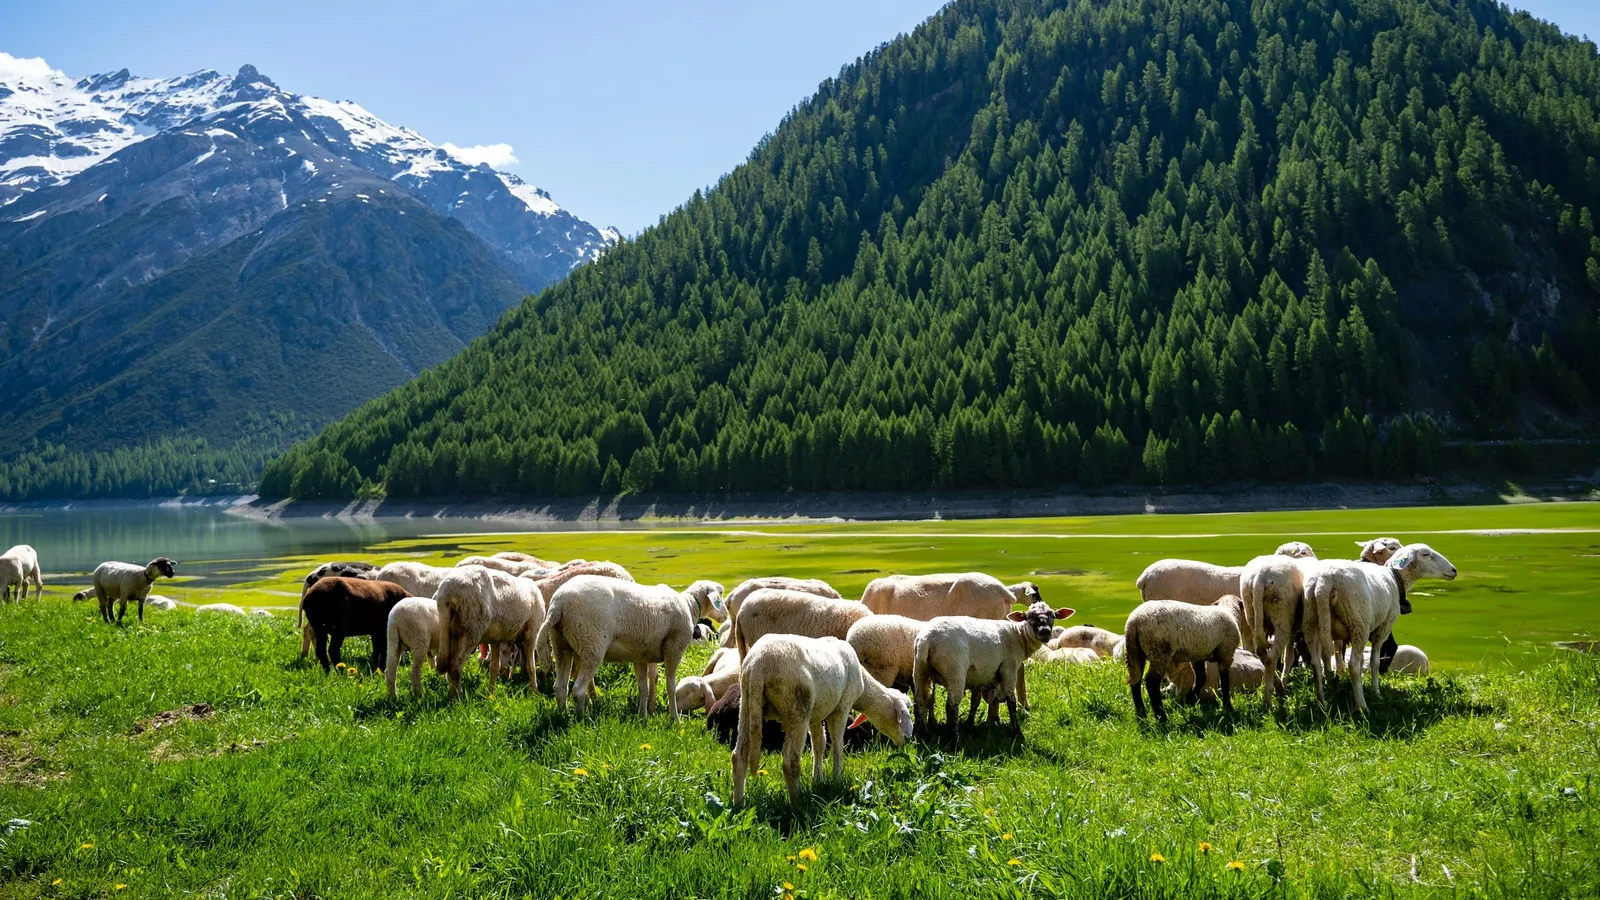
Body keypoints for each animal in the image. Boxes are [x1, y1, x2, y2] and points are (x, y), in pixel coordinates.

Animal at [434, 565, 546, 700]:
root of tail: (447, 593)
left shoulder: (495, 640)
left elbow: (494, 668)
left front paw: (491, 695)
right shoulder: (532, 632)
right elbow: (531, 666)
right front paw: (535, 692)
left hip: (452, 632)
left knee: (449, 666)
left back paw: (452, 695)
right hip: (473, 628)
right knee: (455, 668)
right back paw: (457, 699)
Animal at [536, 575, 725, 719]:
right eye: (721, 593)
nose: (725, 616)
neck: (690, 606)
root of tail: (559, 604)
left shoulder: (641, 655)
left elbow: (645, 686)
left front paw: (643, 716)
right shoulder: (673, 649)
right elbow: (670, 686)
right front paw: (674, 719)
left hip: (561, 644)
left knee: (560, 687)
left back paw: (563, 716)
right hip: (592, 643)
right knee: (578, 690)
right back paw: (579, 721)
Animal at [731, 633, 913, 805]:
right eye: (904, 713)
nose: (908, 739)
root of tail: (758, 665)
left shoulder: (816, 714)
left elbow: (819, 744)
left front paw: (817, 781)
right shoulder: (842, 707)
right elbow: (837, 746)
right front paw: (837, 781)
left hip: (747, 703)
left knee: (739, 756)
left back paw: (739, 804)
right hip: (797, 707)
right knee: (790, 762)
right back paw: (798, 804)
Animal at [911, 601, 1073, 745]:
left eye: (1052, 615)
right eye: (1029, 616)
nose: (1044, 631)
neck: (1019, 636)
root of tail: (927, 638)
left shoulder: (979, 675)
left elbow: (974, 703)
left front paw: (969, 728)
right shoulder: (1009, 668)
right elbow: (1011, 701)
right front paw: (1016, 732)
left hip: (919, 670)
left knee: (919, 702)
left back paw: (921, 735)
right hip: (955, 672)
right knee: (951, 706)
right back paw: (955, 743)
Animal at [1304, 545, 1456, 712]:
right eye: (1425, 554)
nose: (1454, 570)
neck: (1396, 578)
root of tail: (1323, 583)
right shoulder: (1382, 629)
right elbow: (1375, 662)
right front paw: (1376, 693)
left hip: (1311, 621)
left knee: (1316, 665)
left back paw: (1321, 704)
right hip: (1358, 622)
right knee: (1353, 666)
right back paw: (1362, 707)